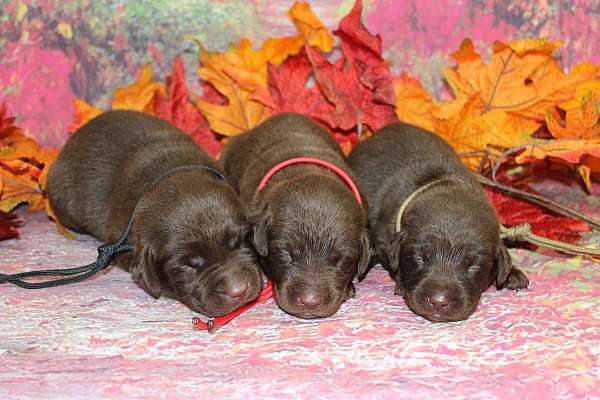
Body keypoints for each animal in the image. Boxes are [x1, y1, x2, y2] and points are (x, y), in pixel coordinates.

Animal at [346, 123, 528, 324]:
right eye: (420, 258)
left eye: (473, 266)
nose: (438, 301)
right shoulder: (384, 238)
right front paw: (402, 283)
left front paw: (512, 273)